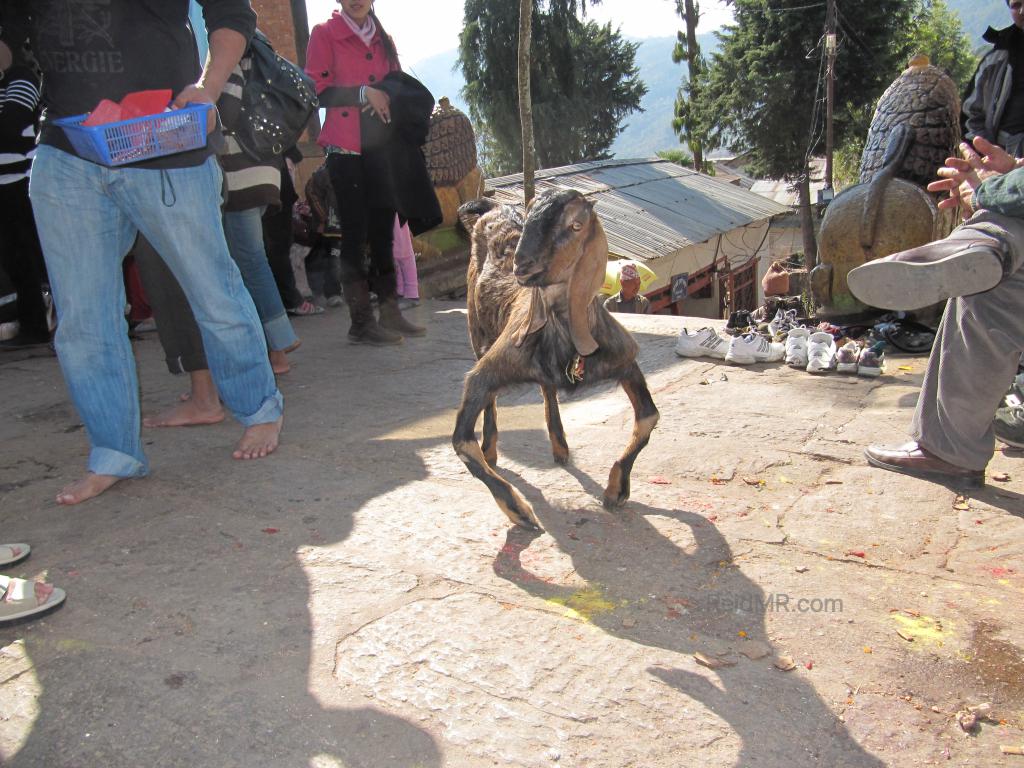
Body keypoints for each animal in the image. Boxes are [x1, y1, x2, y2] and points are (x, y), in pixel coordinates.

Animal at [452, 189, 659, 532]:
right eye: (530, 214)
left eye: (576, 225)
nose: (522, 263)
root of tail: (494, 207)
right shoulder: (491, 368)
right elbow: (462, 442)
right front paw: (519, 512)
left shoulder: (624, 359)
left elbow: (648, 418)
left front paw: (616, 489)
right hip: (476, 331)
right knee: (493, 399)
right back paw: (492, 450)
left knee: (547, 388)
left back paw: (560, 445)